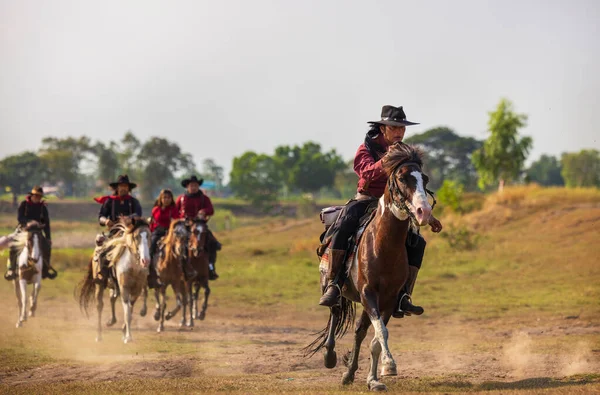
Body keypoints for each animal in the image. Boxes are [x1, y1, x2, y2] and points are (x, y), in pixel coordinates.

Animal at [308, 143, 434, 392]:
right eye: (402, 177)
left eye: (423, 178)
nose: (423, 212)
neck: (383, 246)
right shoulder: (368, 294)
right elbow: (380, 332)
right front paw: (389, 365)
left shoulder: (388, 300)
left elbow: (377, 337)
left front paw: (376, 378)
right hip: (333, 286)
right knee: (334, 312)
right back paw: (330, 356)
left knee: (359, 332)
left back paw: (349, 373)